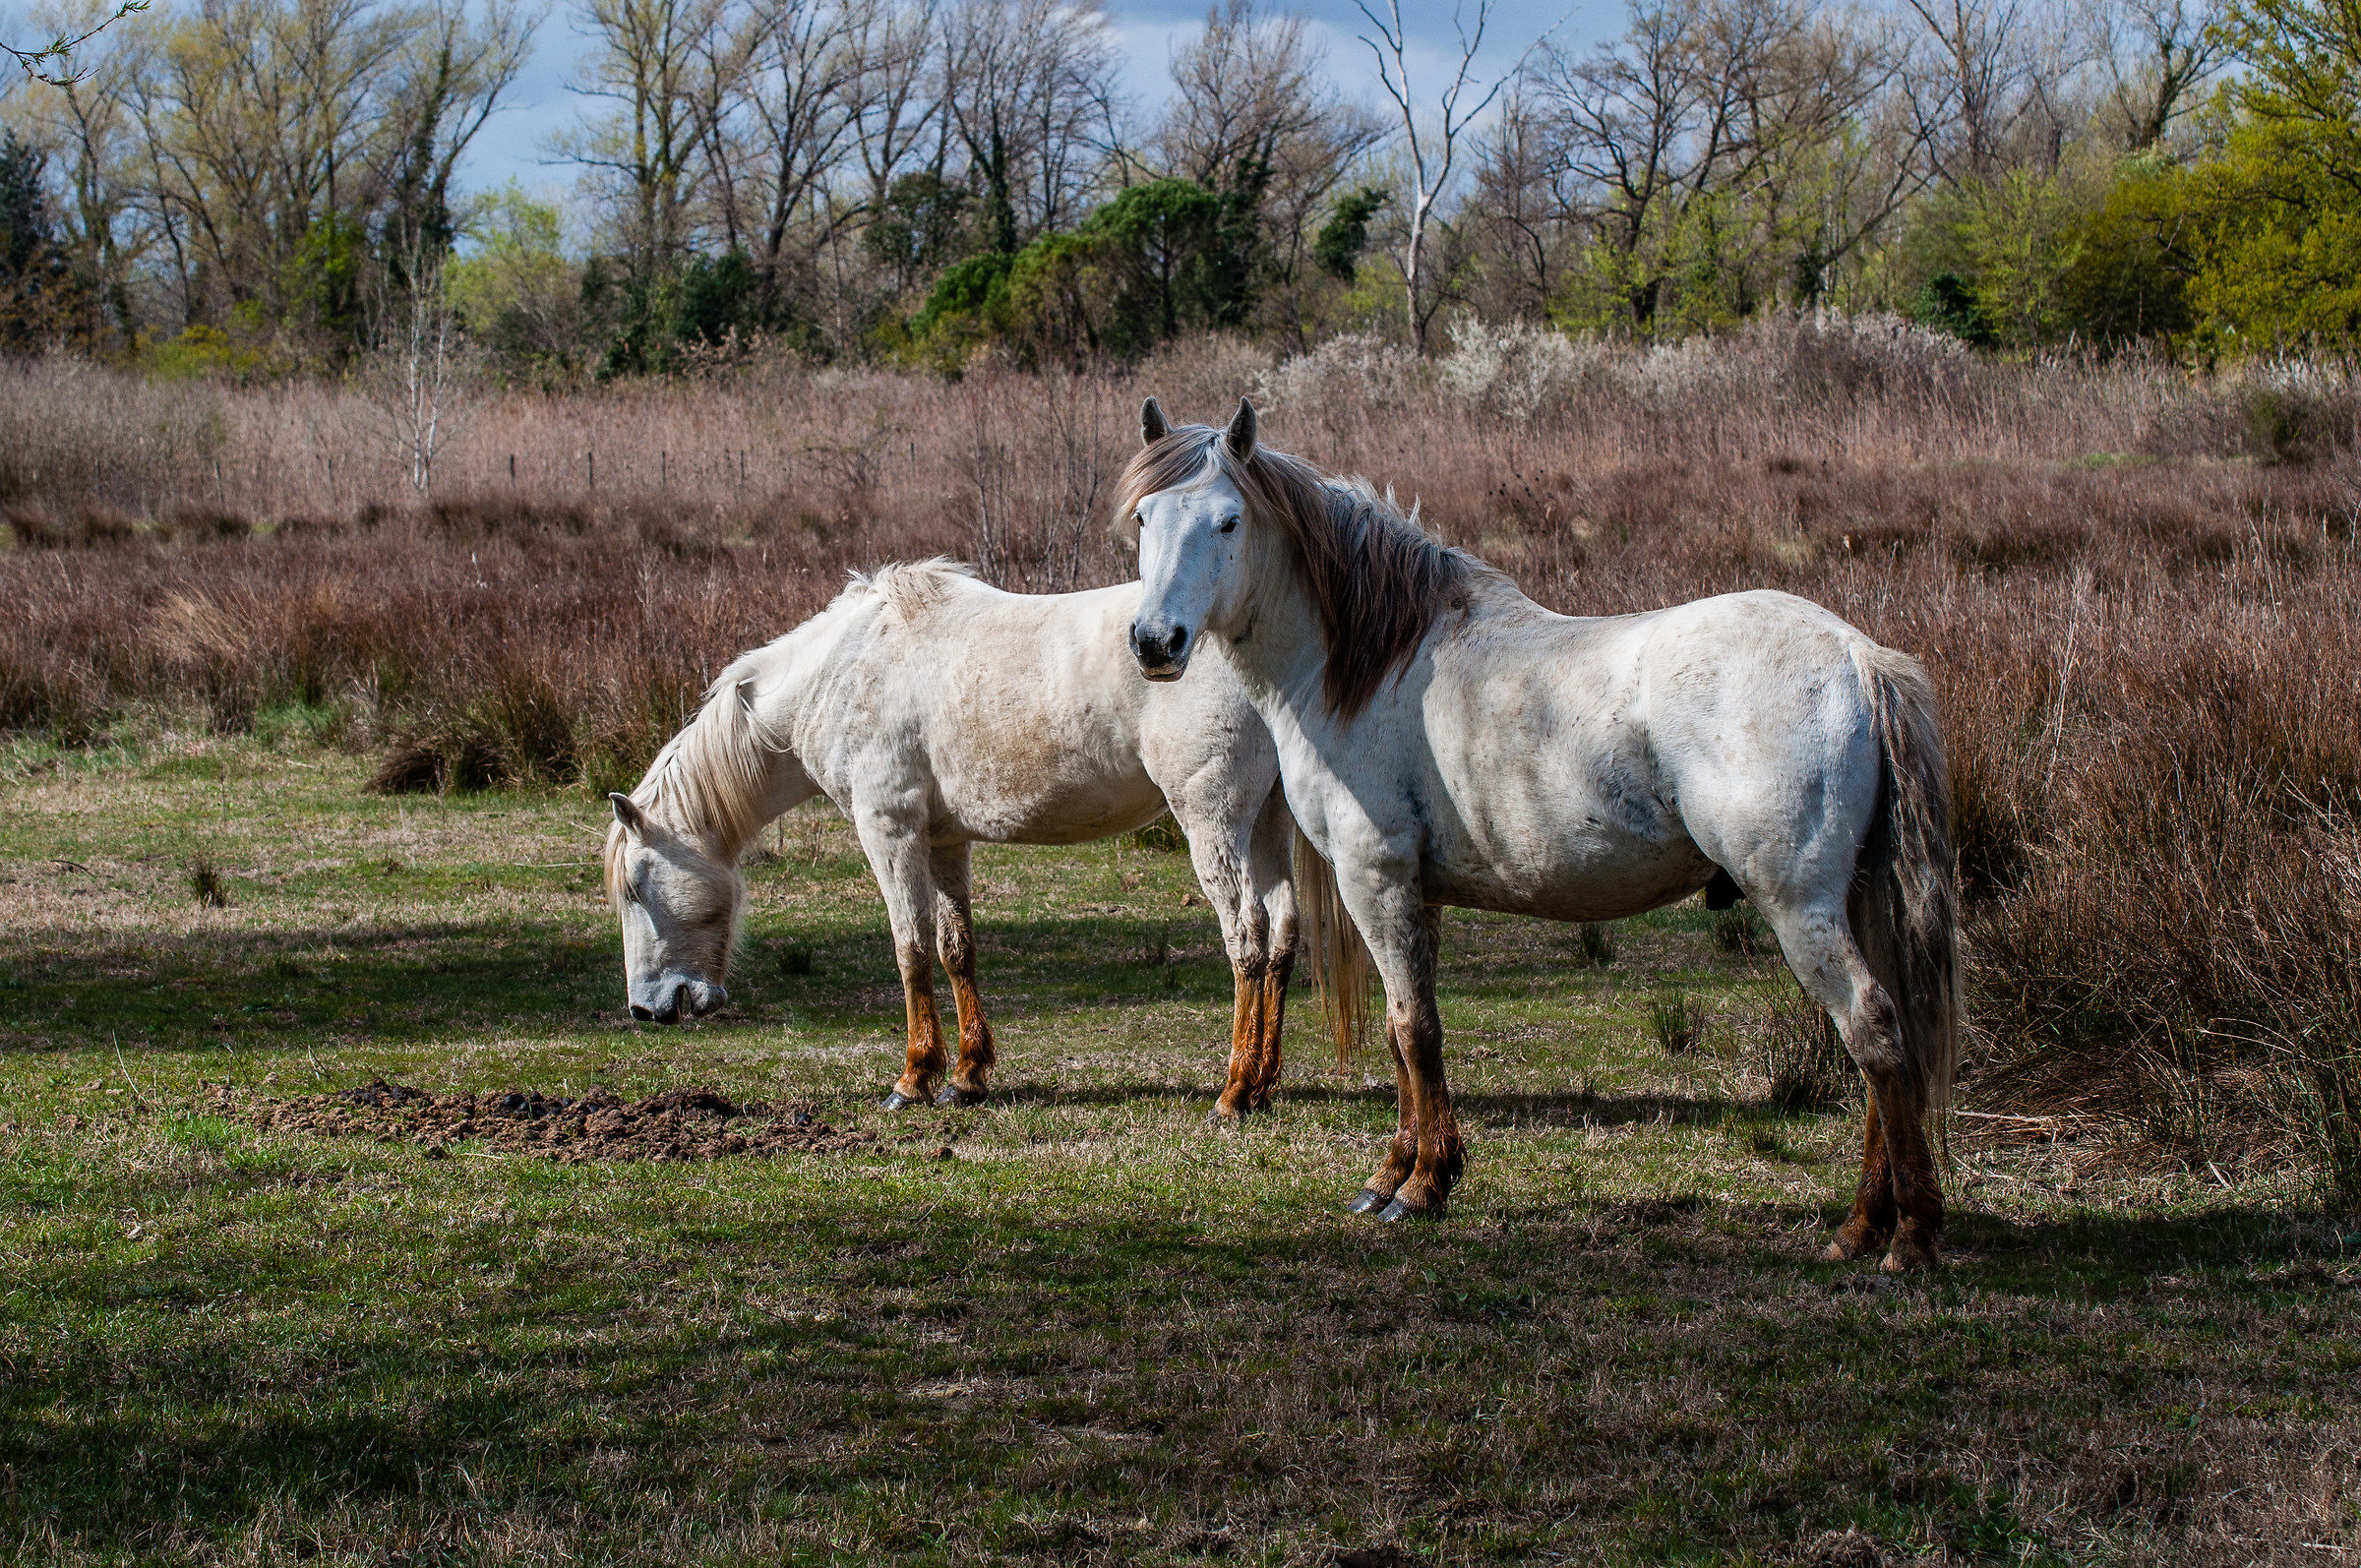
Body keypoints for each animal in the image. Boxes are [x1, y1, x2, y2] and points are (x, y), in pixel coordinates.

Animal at [602, 557, 1301, 1119]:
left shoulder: (889, 831)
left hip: (1212, 821)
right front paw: (966, 1076)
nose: (644, 1009)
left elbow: (909, 949)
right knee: (1283, 934)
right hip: (1268, 822)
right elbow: (954, 948)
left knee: (1247, 936)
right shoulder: (942, 842)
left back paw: (1235, 1091)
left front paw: (914, 1079)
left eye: (635, 888)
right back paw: (1264, 1082)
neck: (840, 671)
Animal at [1116, 398, 1961, 1271]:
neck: (1368, 667)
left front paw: (1421, 1186)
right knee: (1886, 1036)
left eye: (1227, 521)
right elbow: (1403, 1032)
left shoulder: (1374, 881)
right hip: (1852, 901)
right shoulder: (1414, 894)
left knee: (1872, 1030)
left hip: (1800, 908)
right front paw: (1397, 1174)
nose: (1155, 642)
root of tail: (1858, 657)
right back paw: (1866, 1225)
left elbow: (1416, 1030)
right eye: (1144, 516)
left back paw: (1906, 1235)